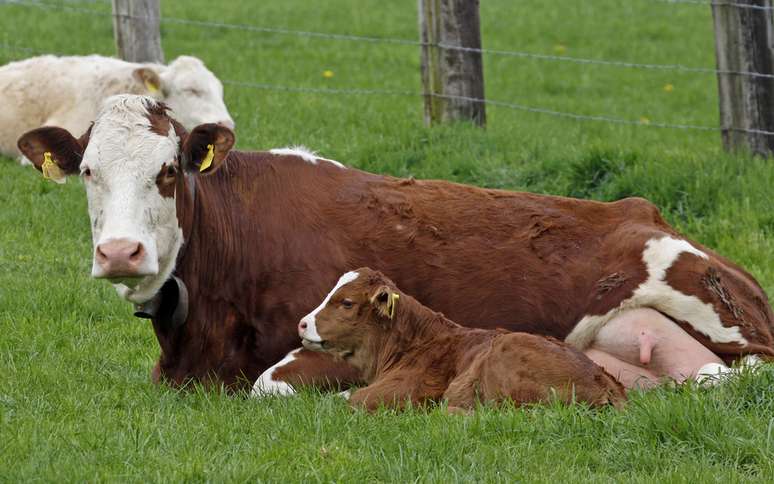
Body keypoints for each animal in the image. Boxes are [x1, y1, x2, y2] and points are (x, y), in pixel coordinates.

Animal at [16, 93, 774, 394]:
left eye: (169, 170)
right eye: (88, 171)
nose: (121, 253)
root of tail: (642, 209)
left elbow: (269, 384)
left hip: (712, 303)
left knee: (742, 375)